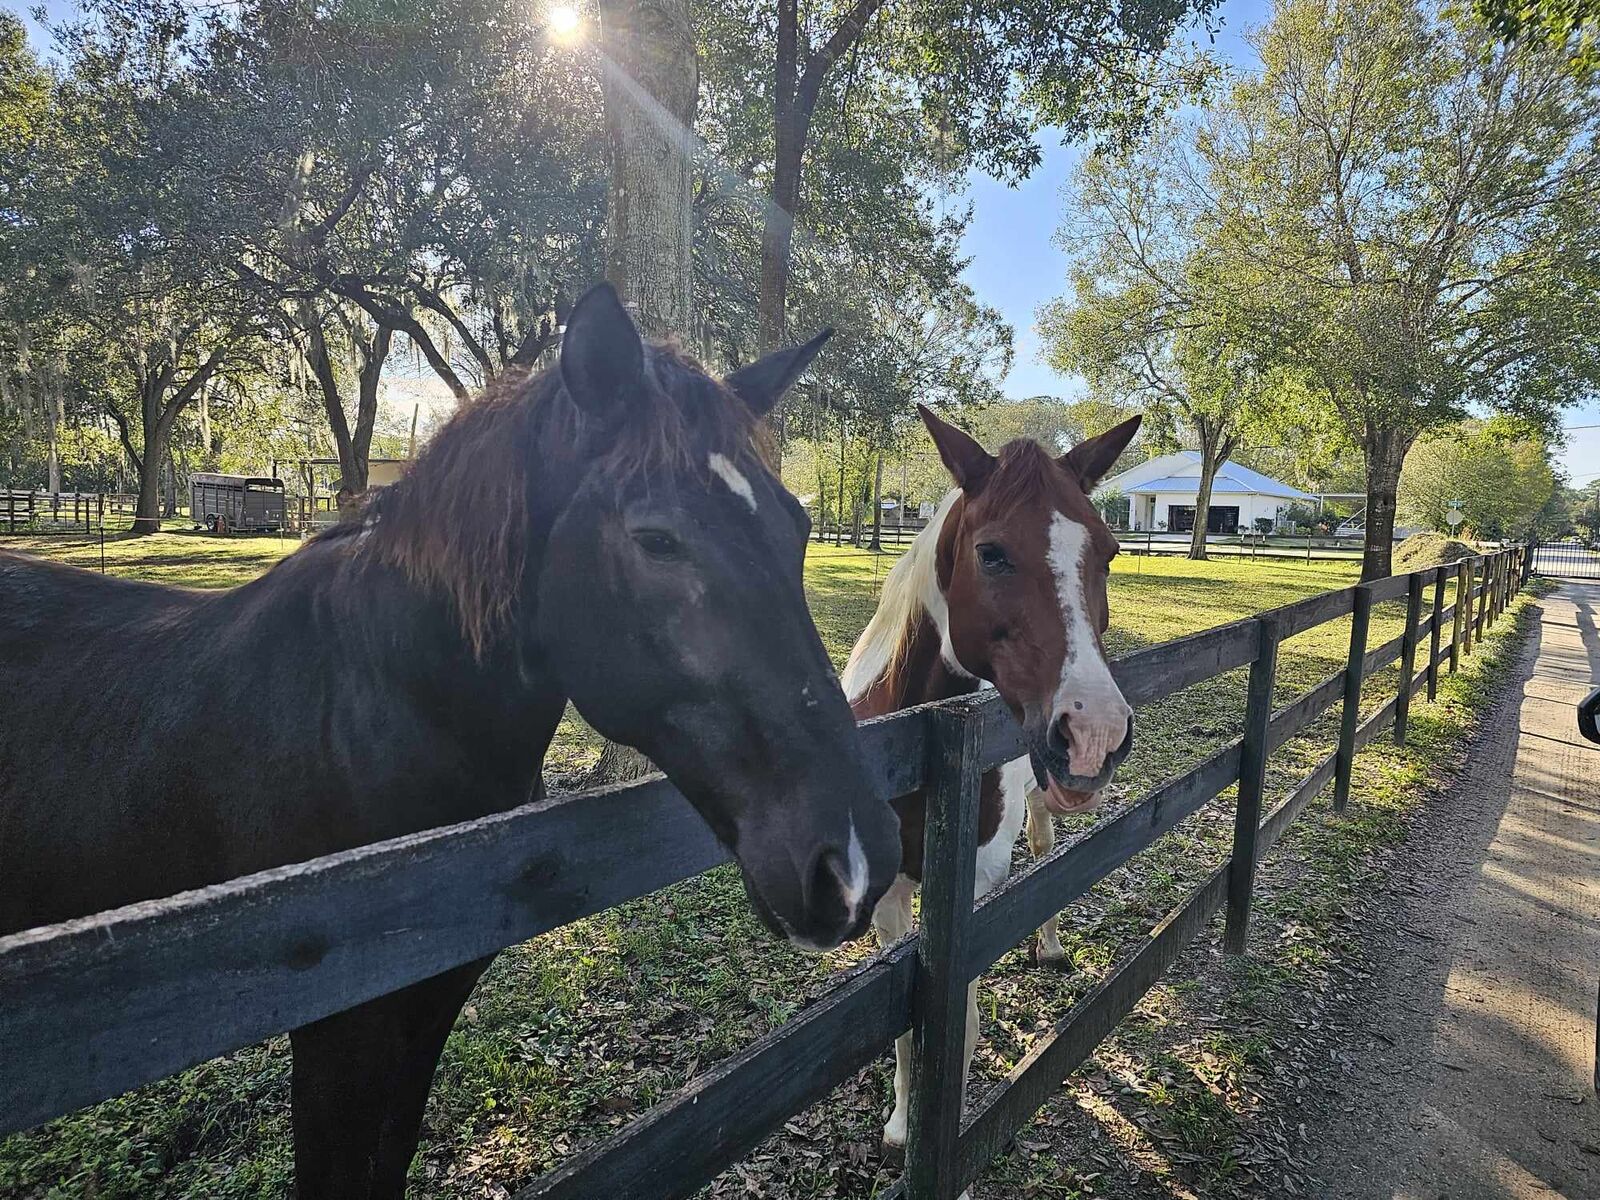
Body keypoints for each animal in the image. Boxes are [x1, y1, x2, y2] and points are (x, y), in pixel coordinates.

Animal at [0, 283, 902, 1199]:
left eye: (797, 528)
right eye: (655, 538)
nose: (858, 861)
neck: (367, 701)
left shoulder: (424, 1004)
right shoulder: (340, 1028)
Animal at [842, 405, 1142, 1168]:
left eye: (1108, 552)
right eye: (992, 553)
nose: (1094, 732)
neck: (911, 748)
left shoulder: (972, 886)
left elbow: (964, 1026)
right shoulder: (889, 900)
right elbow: (905, 1032)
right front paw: (901, 1124)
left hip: (1043, 798)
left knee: (1044, 856)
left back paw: (1050, 944)